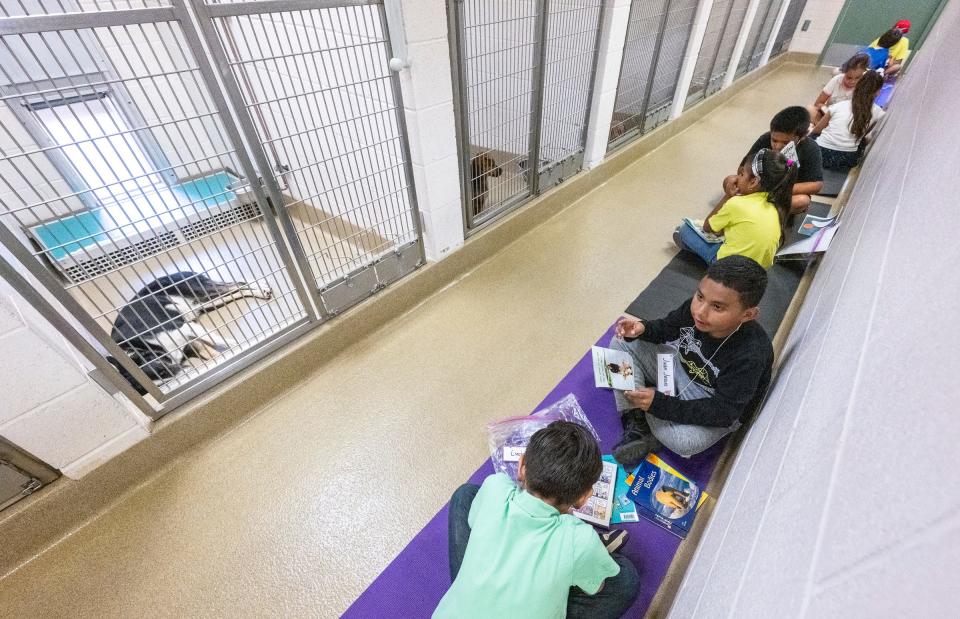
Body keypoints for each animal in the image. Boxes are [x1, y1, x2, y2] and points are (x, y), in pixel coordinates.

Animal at [109, 272, 274, 392]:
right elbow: (209, 352)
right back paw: (259, 292)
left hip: (201, 290)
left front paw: (239, 344)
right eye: (162, 386)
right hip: (203, 302)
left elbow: (215, 338)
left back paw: (261, 287)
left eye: (162, 371)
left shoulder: (185, 328)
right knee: (236, 291)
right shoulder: (189, 340)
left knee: (237, 284)